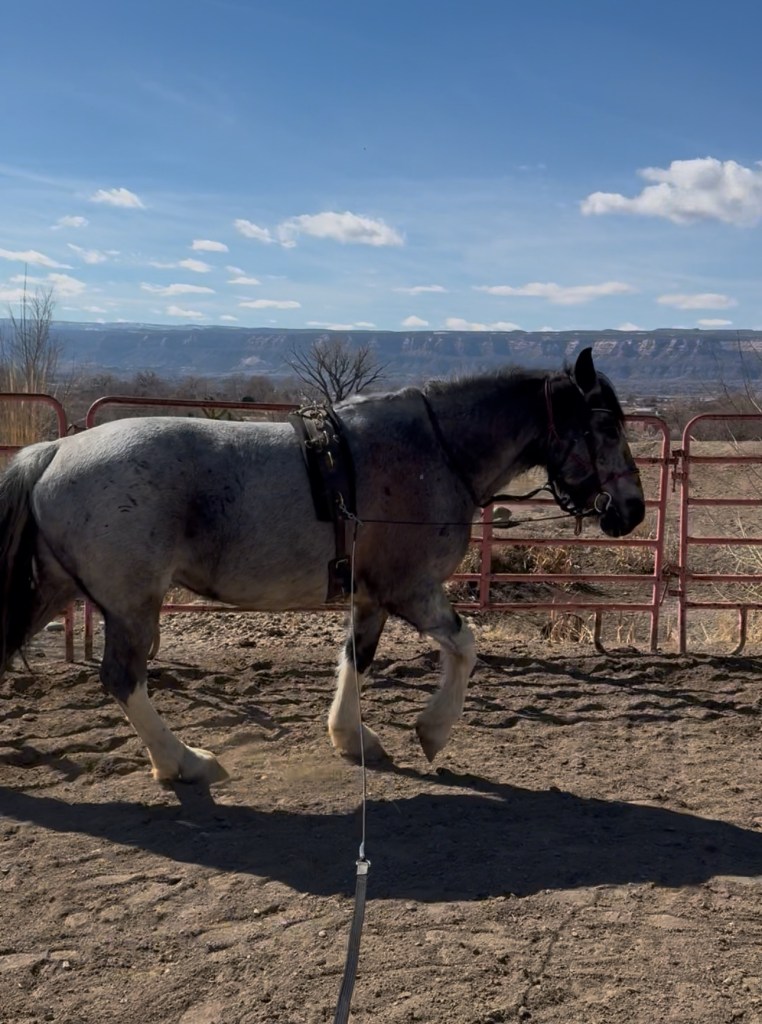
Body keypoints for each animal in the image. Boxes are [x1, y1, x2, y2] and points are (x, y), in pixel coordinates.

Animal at [0, 347, 645, 785]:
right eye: (605, 425)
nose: (633, 508)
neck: (433, 451)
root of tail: (54, 450)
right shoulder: (410, 590)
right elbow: (465, 645)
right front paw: (433, 730)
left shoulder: (370, 597)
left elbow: (357, 659)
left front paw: (351, 737)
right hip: (132, 608)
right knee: (123, 679)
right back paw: (182, 761)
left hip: (55, 591)